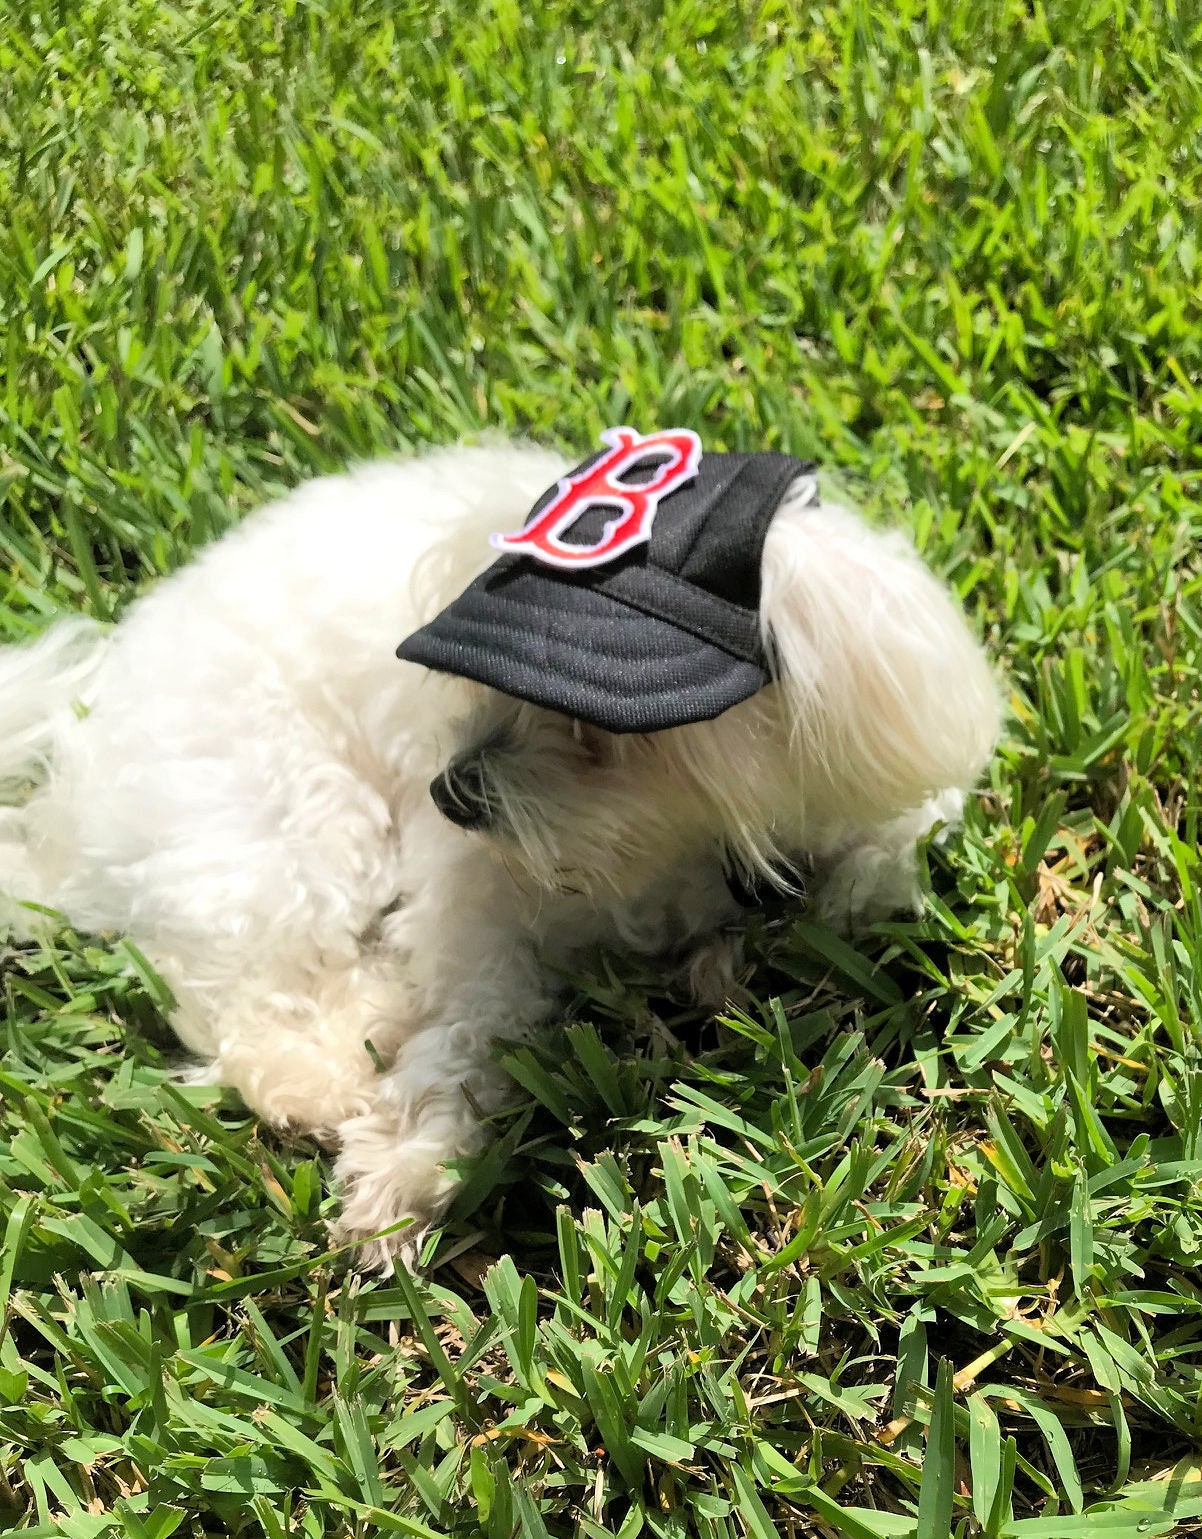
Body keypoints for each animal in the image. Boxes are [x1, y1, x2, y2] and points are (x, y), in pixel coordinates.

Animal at [0, 430, 991, 1261]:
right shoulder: (474, 893)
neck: (680, 843)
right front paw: (407, 1162)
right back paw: (333, 1066)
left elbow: (871, 868)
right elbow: (476, 1019)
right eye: (475, 680)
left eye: (593, 728)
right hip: (289, 815)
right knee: (236, 994)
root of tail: (71, 777)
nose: (450, 792)